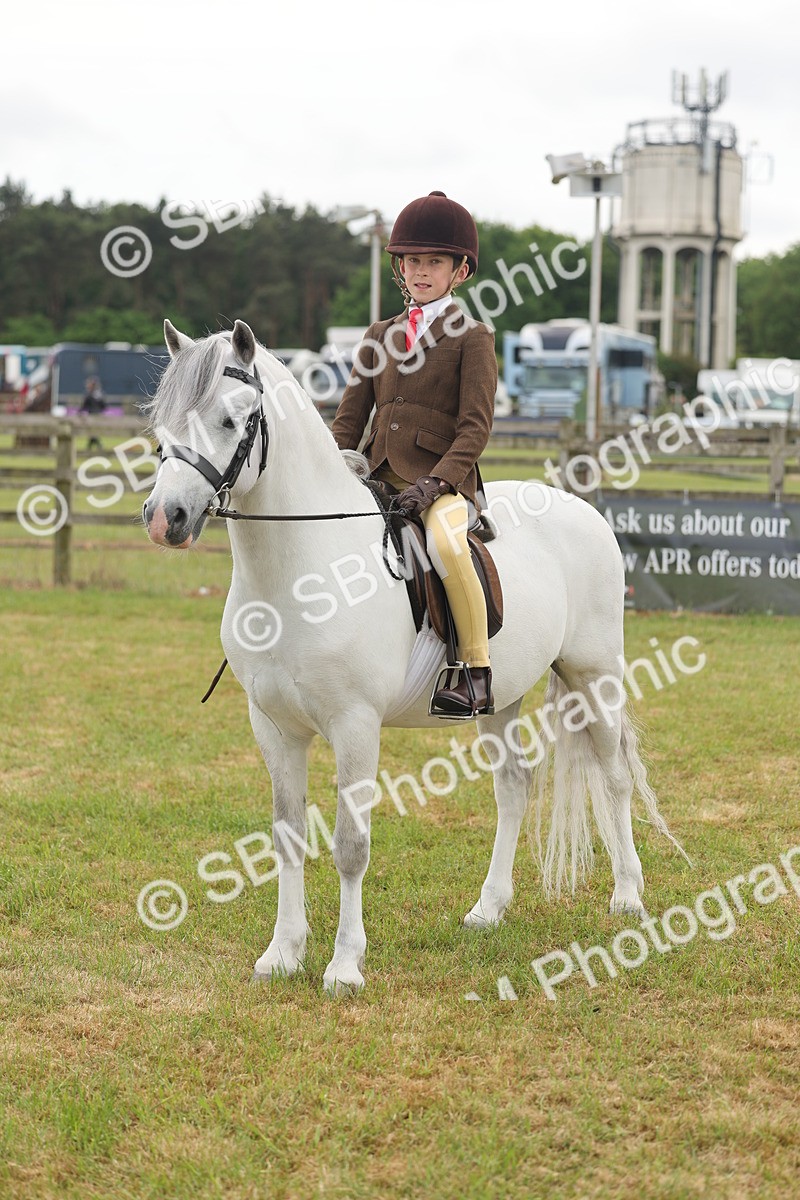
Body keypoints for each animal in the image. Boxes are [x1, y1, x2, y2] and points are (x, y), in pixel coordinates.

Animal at [143, 318, 685, 994]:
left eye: (231, 418)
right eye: (163, 422)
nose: (165, 518)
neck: (301, 571)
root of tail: (580, 507)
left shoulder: (355, 725)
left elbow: (350, 844)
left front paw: (344, 966)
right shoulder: (274, 727)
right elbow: (286, 836)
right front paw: (283, 954)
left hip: (595, 675)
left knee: (613, 777)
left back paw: (628, 898)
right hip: (498, 697)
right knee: (514, 787)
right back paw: (489, 908)